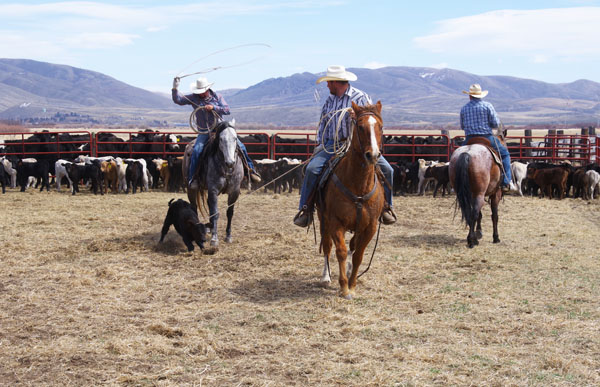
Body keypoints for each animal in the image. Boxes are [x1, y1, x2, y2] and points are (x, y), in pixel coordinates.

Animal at [185, 121, 246, 249]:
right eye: (221, 139)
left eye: (235, 138)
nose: (230, 163)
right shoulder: (213, 190)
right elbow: (215, 213)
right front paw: (214, 239)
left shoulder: (234, 191)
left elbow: (229, 213)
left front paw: (228, 236)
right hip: (190, 190)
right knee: (194, 207)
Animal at [318, 101, 384, 300]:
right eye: (360, 127)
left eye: (380, 127)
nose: (373, 155)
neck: (359, 186)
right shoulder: (335, 222)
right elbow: (340, 251)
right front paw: (344, 287)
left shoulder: (370, 226)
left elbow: (358, 255)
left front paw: (352, 284)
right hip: (322, 218)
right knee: (327, 245)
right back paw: (326, 276)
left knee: (353, 246)